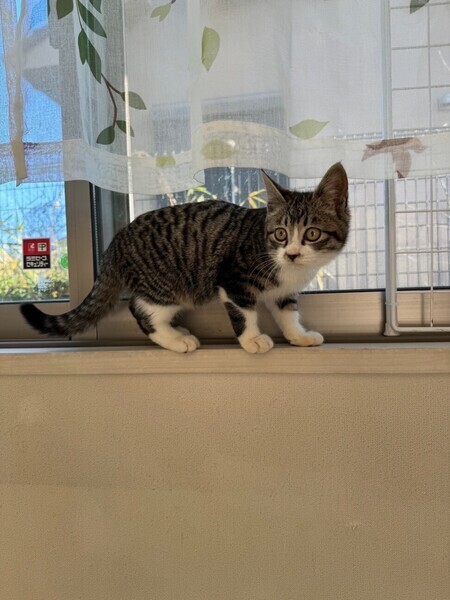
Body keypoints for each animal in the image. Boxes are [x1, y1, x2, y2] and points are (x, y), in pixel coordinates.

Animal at [20, 163, 350, 353]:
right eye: (280, 234)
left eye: (311, 234)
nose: (292, 253)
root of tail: (115, 243)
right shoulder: (233, 280)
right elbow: (244, 313)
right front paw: (252, 340)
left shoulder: (284, 290)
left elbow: (287, 311)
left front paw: (298, 335)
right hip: (167, 284)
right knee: (142, 310)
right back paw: (176, 340)